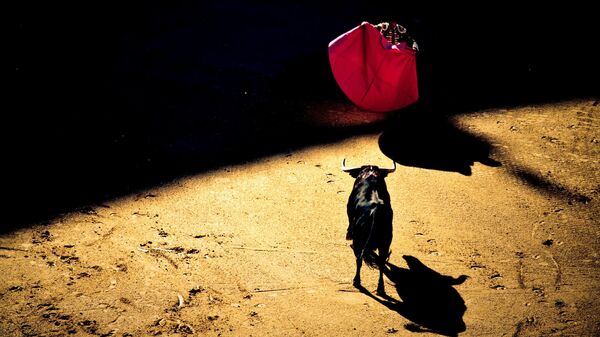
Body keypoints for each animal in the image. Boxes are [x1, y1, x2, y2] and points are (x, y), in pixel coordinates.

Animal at [340, 159, 396, 292]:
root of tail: (375, 210)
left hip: (359, 240)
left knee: (359, 259)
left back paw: (356, 281)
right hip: (386, 242)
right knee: (381, 262)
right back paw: (380, 287)